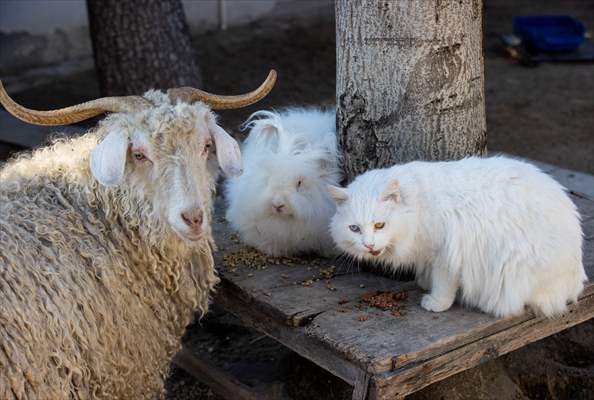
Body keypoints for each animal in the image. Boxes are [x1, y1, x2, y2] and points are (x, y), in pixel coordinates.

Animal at [326, 155, 584, 318]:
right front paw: (424, 282)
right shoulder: (429, 252)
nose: (369, 245)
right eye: (355, 229)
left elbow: (443, 284)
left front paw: (435, 302)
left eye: (379, 225)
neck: (418, 206)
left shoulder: (445, 254)